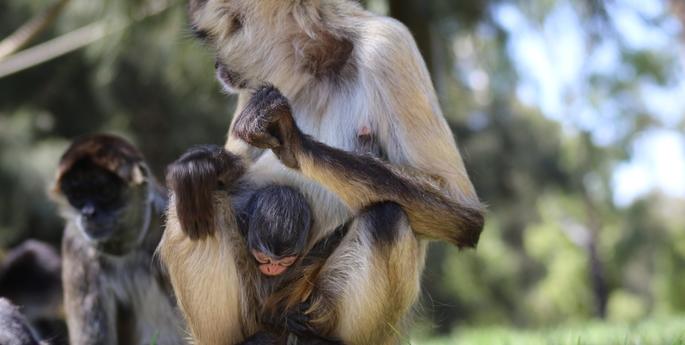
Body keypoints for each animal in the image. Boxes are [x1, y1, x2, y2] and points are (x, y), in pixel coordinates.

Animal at [160, 1, 484, 342]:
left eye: (210, 39)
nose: (216, 66)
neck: (320, 62)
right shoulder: (258, 84)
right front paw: (205, 164)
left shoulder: (387, 44)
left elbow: (465, 215)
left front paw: (291, 138)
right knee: (193, 196)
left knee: (388, 218)